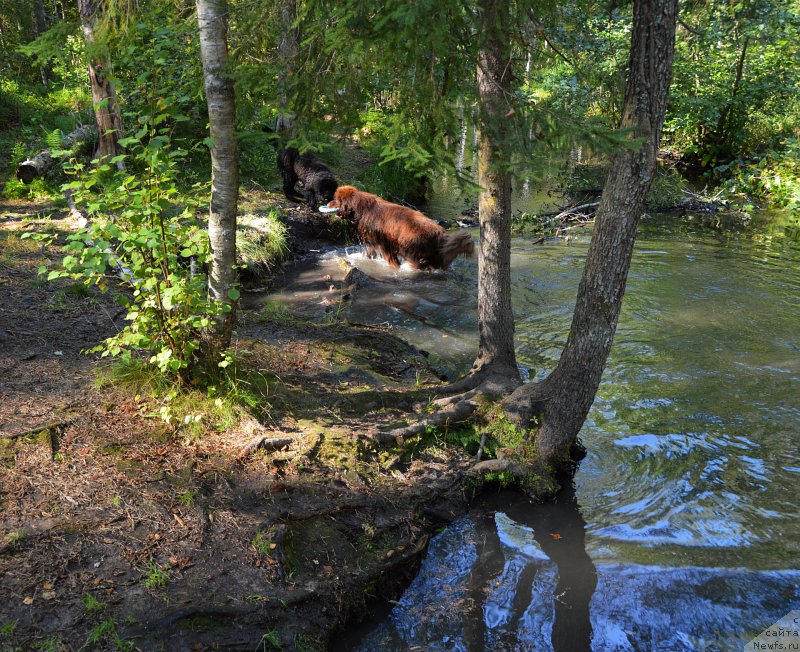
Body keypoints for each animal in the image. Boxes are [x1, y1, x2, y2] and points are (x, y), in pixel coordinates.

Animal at [326, 186, 476, 270]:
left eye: (336, 200)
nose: (327, 204)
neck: (362, 210)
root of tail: (439, 233)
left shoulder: (384, 245)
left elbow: (392, 262)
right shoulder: (373, 243)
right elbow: (369, 253)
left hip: (412, 252)